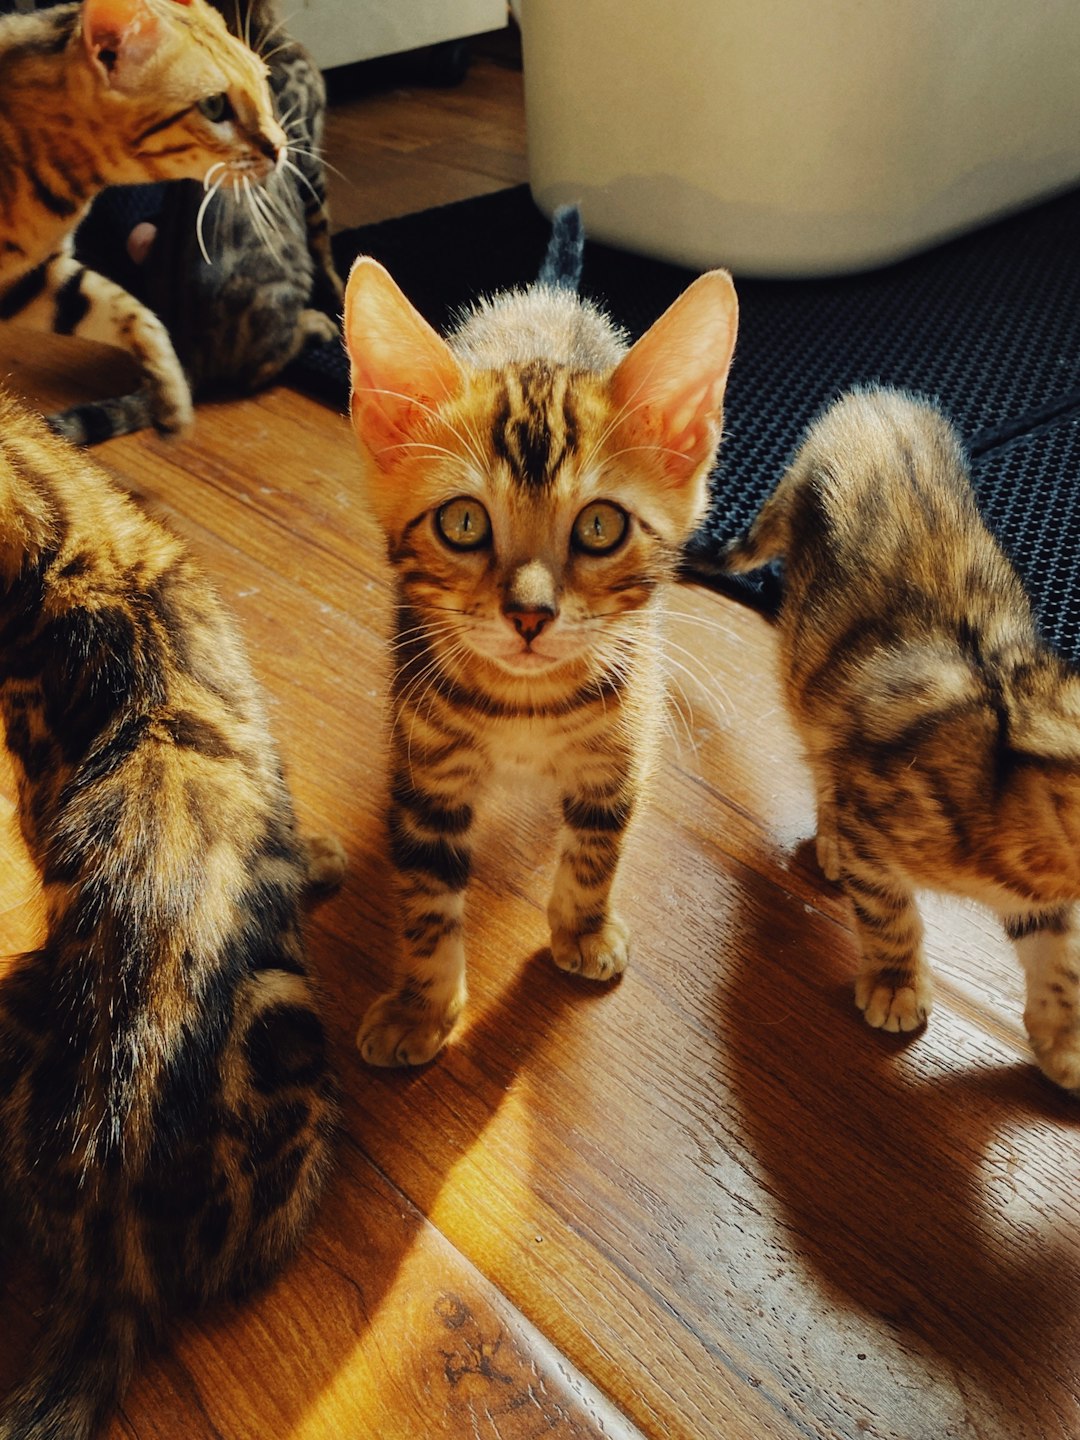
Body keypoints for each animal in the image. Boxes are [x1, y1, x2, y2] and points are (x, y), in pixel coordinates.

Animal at [0, 0, 288, 443]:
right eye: (214, 106)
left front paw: (171, 395)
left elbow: (129, 310)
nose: (280, 146)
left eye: (263, 80)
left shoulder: (31, 277)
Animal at [342, 241, 743, 1065]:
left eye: (599, 527)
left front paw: (582, 931)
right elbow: (427, 896)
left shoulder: (620, 749)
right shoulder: (426, 772)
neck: (524, 704)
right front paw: (423, 1006)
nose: (530, 614)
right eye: (463, 522)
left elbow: (596, 851)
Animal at [722, 388, 1080, 1082]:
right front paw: (894, 984)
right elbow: (890, 917)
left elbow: (1060, 964)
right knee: (821, 754)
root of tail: (873, 399)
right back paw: (830, 839)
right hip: (810, 672)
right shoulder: (875, 814)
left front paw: (1066, 1042)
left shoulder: (1044, 899)